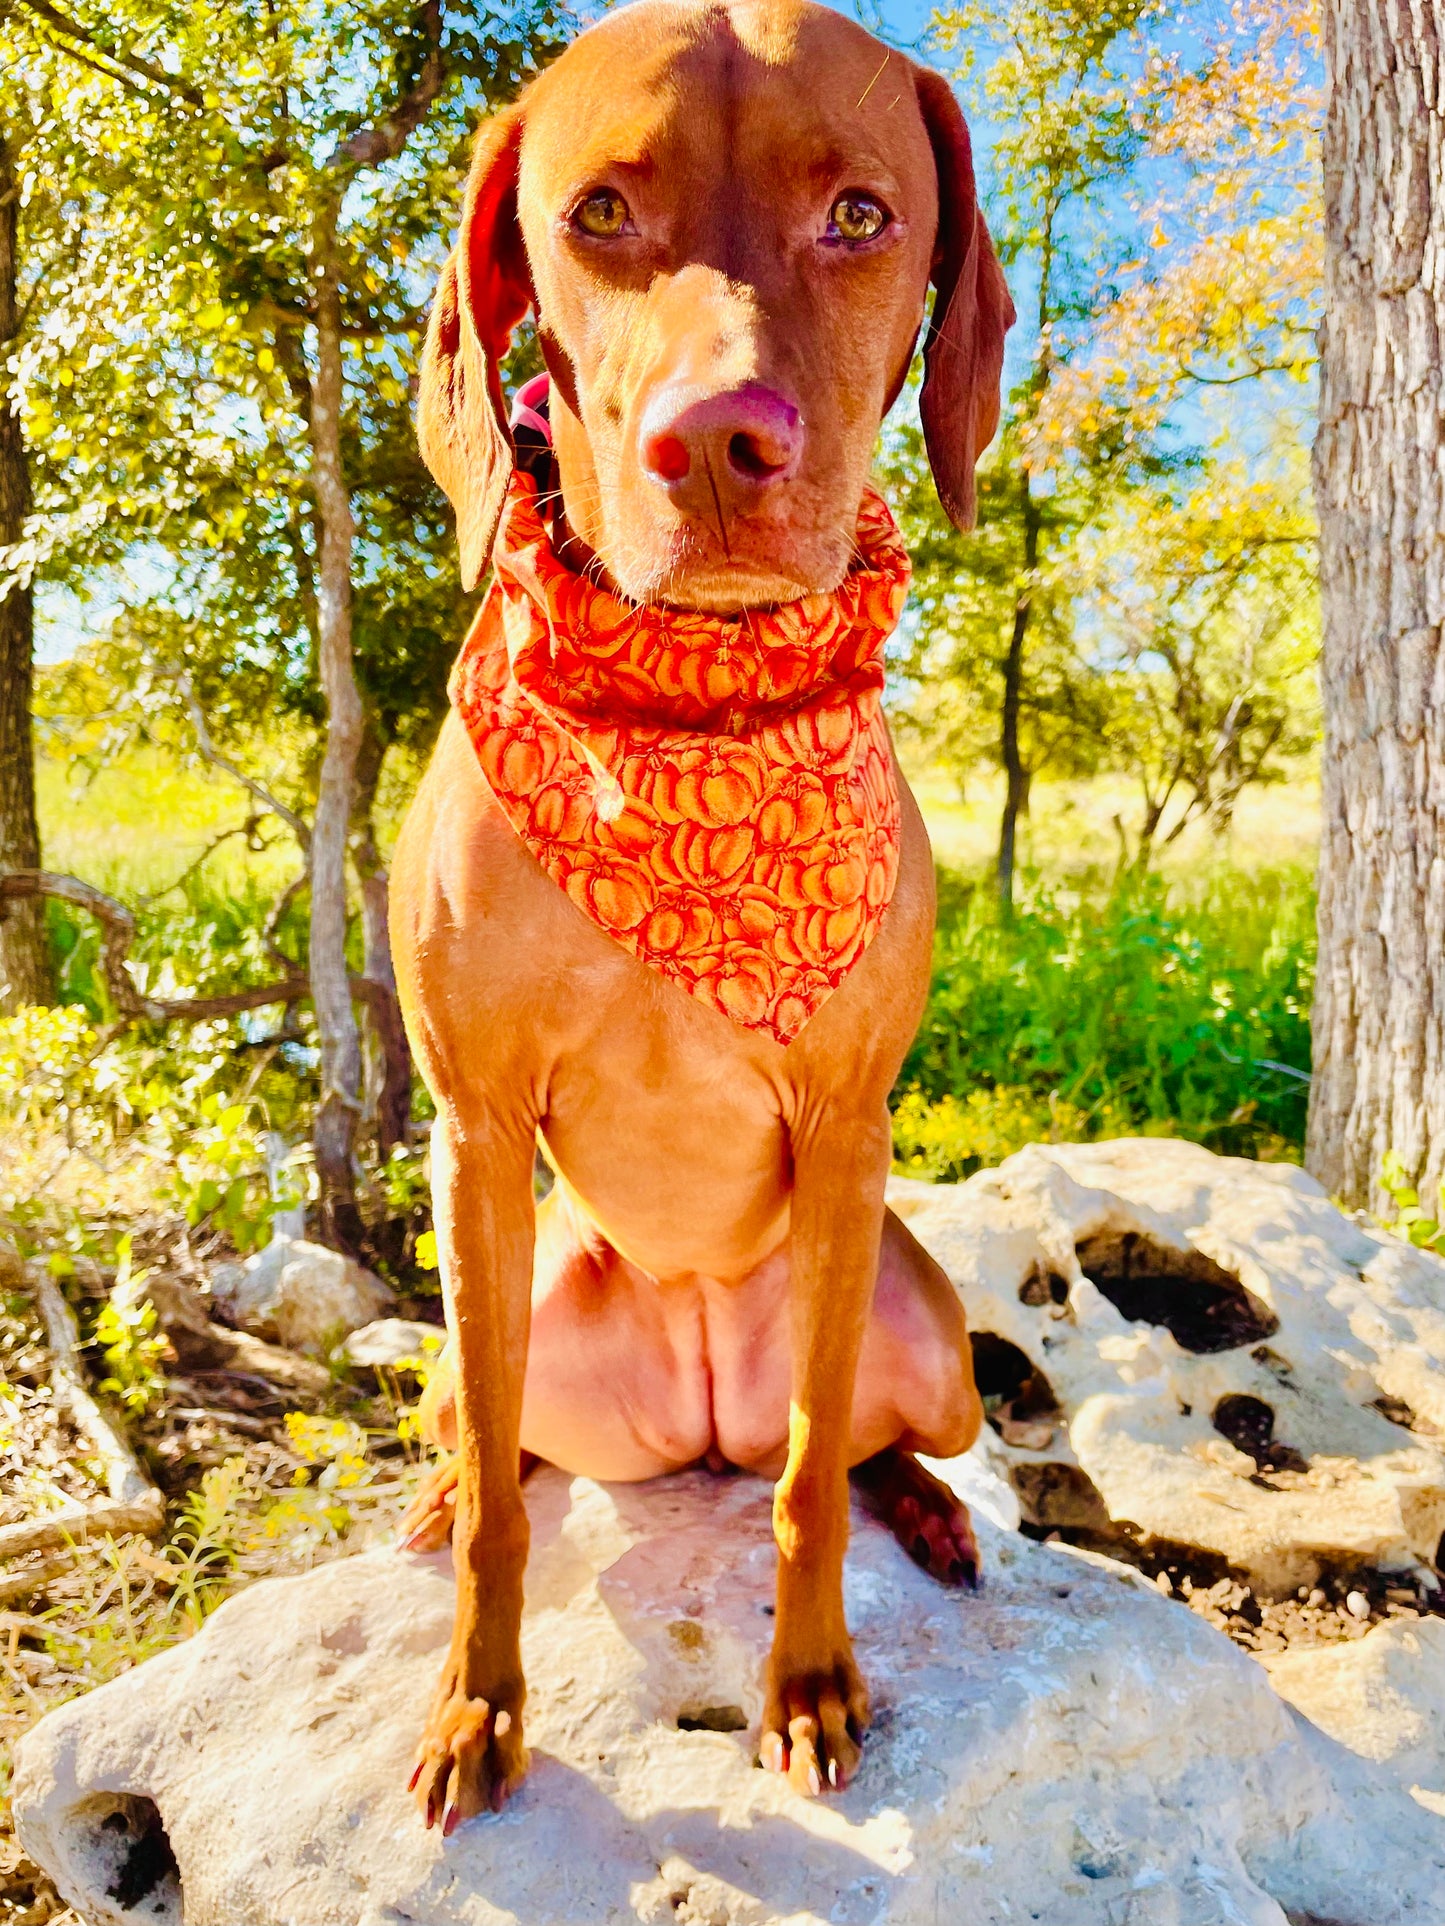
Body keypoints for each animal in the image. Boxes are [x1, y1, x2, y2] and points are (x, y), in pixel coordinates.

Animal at [391, 0, 1009, 1833]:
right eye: (598, 210)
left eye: (862, 215)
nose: (719, 440)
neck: (696, 718)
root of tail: (706, 1413)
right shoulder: (468, 1128)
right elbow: (506, 1506)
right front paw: (476, 1703)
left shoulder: (849, 1121)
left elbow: (811, 1493)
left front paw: (804, 1684)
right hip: (518, 1299)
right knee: (491, 1431)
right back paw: (442, 1490)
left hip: (922, 1326)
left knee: (845, 1445)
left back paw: (926, 1505)